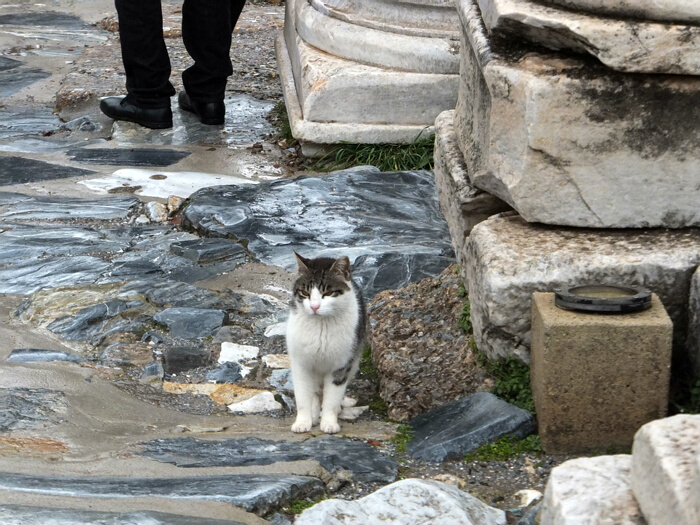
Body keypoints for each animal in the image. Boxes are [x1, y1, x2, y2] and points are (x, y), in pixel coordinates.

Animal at [288, 252, 370, 432]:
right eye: (305, 293)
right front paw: (302, 422)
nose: (314, 306)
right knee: (315, 392)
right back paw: (313, 414)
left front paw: (329, 423)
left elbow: (332, 398)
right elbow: (303, 397)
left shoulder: (341, 365)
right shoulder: (300, 363)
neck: (321, 327)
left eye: (328, 293)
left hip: (354, 359)